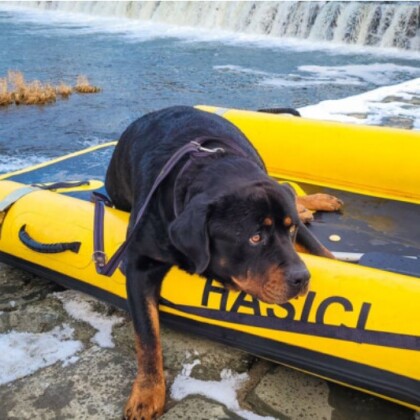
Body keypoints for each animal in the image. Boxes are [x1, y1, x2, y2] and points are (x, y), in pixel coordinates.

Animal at [105, 106, 342, 420]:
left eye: (289, 231)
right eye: (255, 237)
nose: (302, 278)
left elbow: (318, 247)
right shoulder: (138, 263)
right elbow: (147, 335)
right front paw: (147, 393)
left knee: (290, 192)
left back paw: (313, 202)